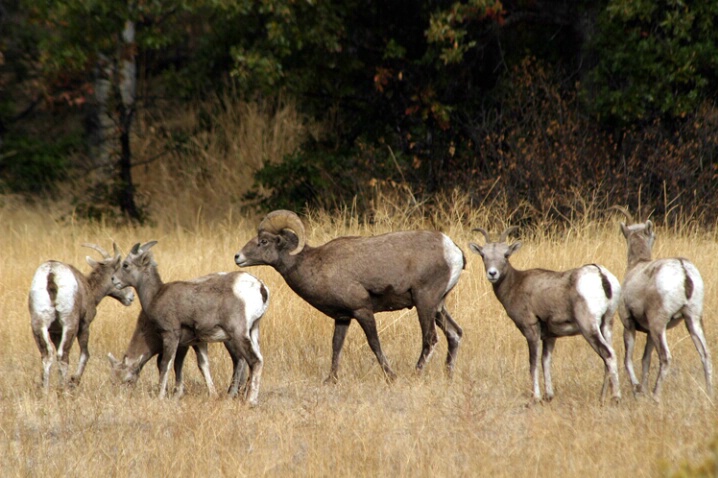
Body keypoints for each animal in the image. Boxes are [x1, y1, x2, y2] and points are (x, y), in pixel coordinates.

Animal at [28, 243, 136, 392]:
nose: (131, 297)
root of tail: (51, 273)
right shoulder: (84, 326)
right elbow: (85, 354)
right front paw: (74, 380)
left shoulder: (55, 332)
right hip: (70, 324)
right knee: (63, 355)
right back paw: (63, 390)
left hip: (38, 324)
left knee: (47, 355)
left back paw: (45, 391)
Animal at [112, 243, 270, 404]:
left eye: (125, 265)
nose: (113, 279)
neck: (156, 295)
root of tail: (260, 287)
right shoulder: (196, 342)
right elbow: (202, 365)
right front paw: (212, 395)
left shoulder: (171, 336)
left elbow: (165, 364)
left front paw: (162, 396)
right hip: (253, 331)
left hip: (238, 334)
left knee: (254, 361)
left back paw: (250, 401)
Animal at [233, 209, 464, 384]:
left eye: (263, 241)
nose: (238, 257)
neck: (314, 265)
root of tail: (453, 251)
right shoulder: (342, 317)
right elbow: (336, 346)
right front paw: (331, 380)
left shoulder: (362, 311)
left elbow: (374, 343)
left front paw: (391, 377)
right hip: (438, 306)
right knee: (454, 334)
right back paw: (448, 376)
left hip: (425, 302)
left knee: (430, 339)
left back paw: (415, 375)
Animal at [472, 228, 624, 404]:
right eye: (483, 255)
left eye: (506, 254)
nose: (492, 273)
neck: (515, 284)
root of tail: (601, 275)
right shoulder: (550, 337)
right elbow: (546, 362)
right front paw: (549, 396)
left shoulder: (531, 330)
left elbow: (533, 363)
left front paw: (536, 397)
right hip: (607, 324)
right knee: (608, 356)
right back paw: (602, 397)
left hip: (589, 327)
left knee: (608, 354)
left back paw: (616, 398)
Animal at [612, 208, 716, 400]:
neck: (636, 267)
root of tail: (683, 270)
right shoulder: (648, 333)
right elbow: (645, 360)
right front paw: (643, 390)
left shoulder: (629, 325)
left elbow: (628, 360)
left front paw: (638, 389)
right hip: (692, 320)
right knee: (706, 354)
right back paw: (709, 393)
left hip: (659, 325)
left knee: (666, 357)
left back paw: (655, 396)